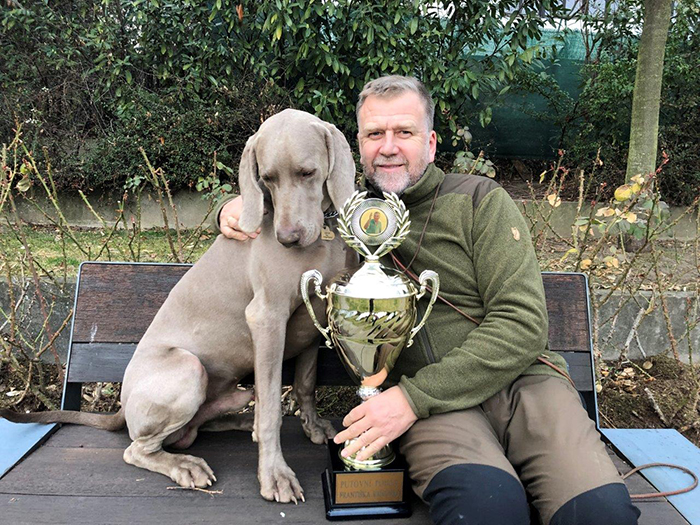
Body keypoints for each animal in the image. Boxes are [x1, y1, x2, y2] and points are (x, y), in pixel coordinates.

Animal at [1, 109, 356, 504]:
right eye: (267, 178)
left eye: (307, 173)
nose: (287, 239)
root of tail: (122, 407)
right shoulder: (267, 318)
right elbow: (272, 410)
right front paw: (274, 476)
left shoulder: (313, 318)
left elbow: (306, 383)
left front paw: (314, 426)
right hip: (188, 368)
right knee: (138, 448)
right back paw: (186, 465)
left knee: (207, 422)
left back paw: (240, 423)